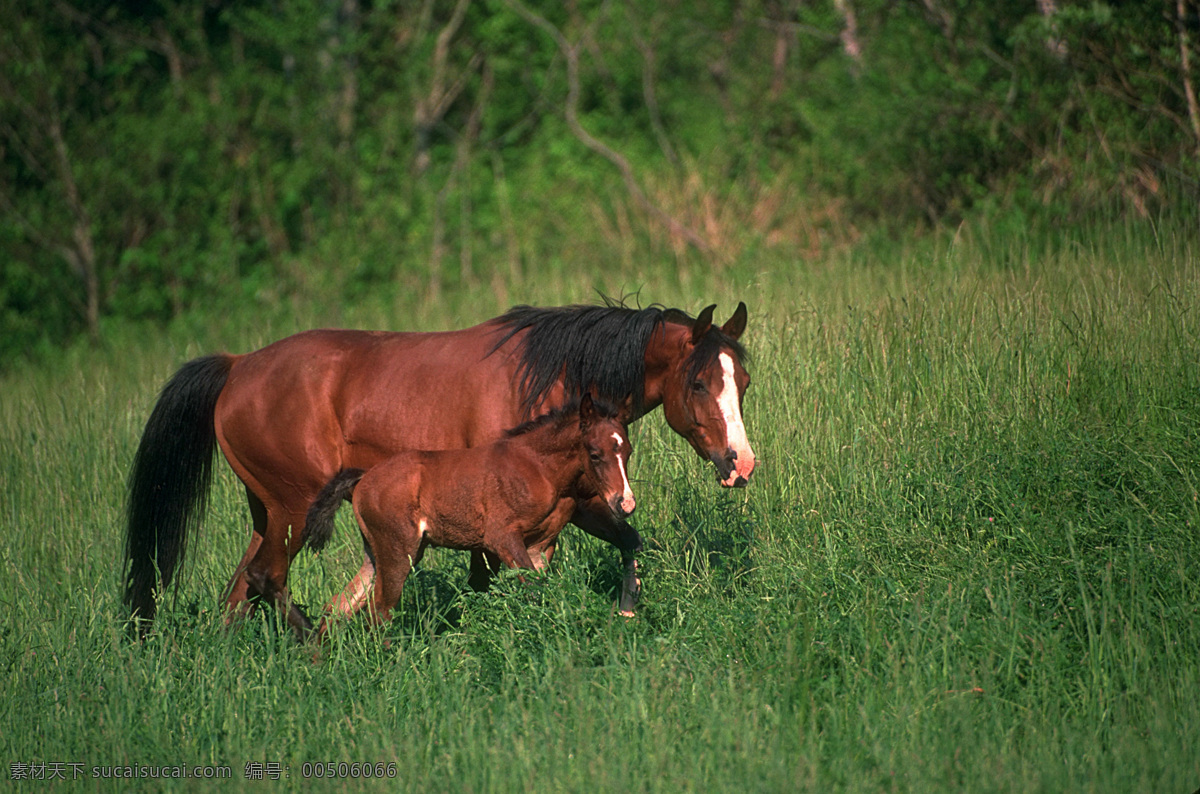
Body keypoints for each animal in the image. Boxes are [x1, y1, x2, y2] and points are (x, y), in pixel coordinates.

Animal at [256, 393, 633, 642]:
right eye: (595, 453)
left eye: (626, 450)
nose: (625, 503)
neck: (537, 468)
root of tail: (364, 478)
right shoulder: (501, 538)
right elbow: (532, 589)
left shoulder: (540, 547)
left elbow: (537, 590)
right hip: (399, 553)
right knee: (379, 613)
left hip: (376, 554)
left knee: (336, 607)